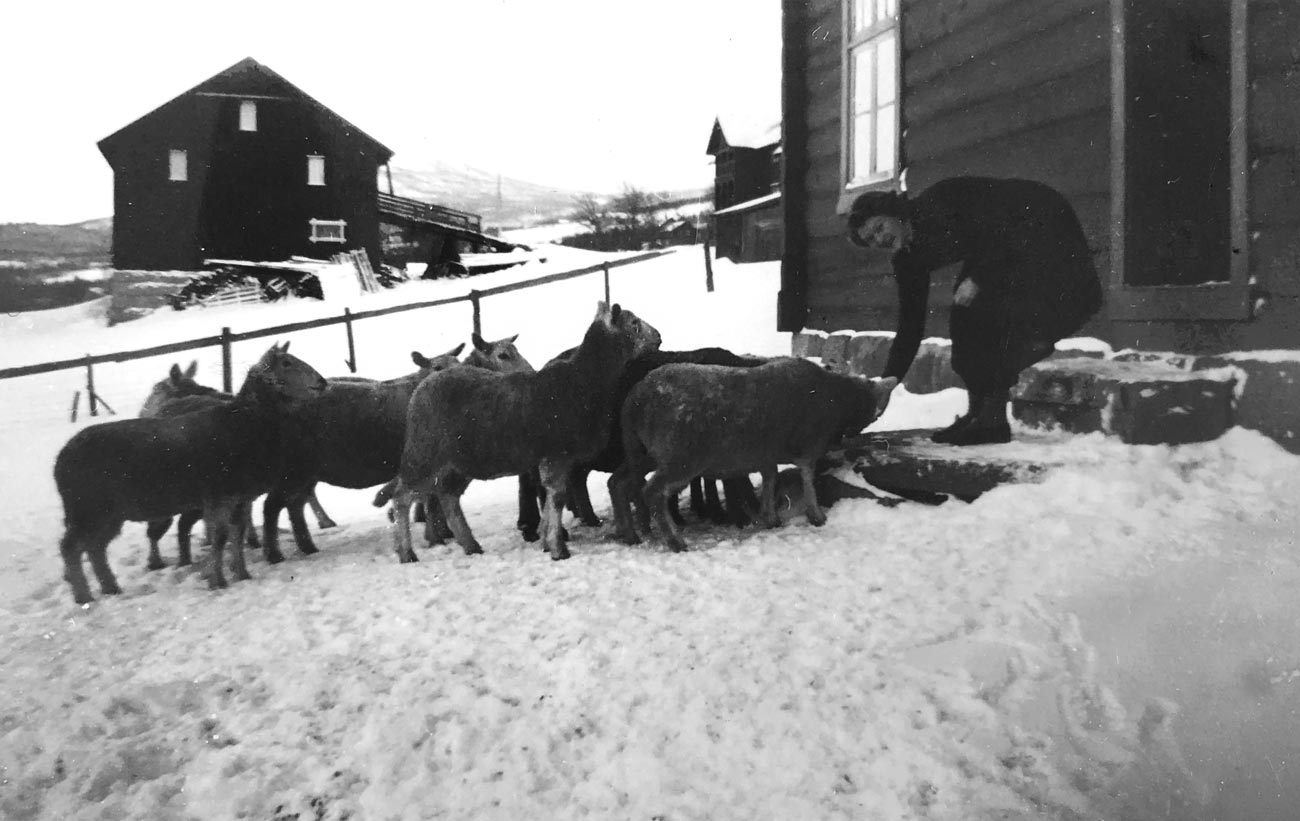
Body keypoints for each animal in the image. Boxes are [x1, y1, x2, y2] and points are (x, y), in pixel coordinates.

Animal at [54, 342, 327, 604]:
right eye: (286, 363)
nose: (322, 382)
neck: (244, 423)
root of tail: (61, 459)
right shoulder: (218, 497)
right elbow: (220, 538)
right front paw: (218, 581)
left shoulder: (240, 499)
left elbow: (236, 535)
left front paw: (242, 574)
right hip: (87, 508)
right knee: (71, 548)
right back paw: (84, 596)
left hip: (107, 513)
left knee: (95, 548)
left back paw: (110, 588)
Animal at [386, 302, 662, 561]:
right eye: (634, 323)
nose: (659, 337)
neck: (583, 380)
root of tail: (422, 386)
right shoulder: (556, 453)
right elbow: (557, 497)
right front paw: (557, 548)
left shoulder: (558, 458)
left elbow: (552, 498)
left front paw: (547, 540)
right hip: (424, 451)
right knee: (401, 498)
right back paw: (406, 553)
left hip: (459, 461)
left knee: (447, 496)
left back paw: (470, 545)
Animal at [609, 357, 897, 552]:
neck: (838, 402)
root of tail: (634, 401)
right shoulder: (808, 447)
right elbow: (807, 479)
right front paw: (817, 516)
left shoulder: (765, 453)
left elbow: (771, 478)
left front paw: (770, 516)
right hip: (682, 455)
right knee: (652, 491)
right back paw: (675, 541)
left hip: (642, 451)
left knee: (617, 482)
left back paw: (630, 534)